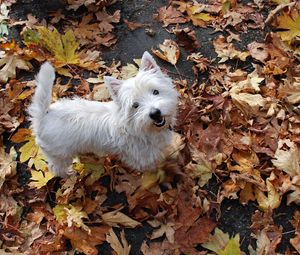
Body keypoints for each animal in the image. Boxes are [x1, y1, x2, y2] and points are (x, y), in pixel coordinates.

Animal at [28, 51, 178, 177]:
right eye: (135, 105)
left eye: (155, 92)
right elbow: (150, 166)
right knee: (56, 168)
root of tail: (43, 116)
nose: (155, 113)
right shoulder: (142, 157)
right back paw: (68, 174)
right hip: (60, 154)